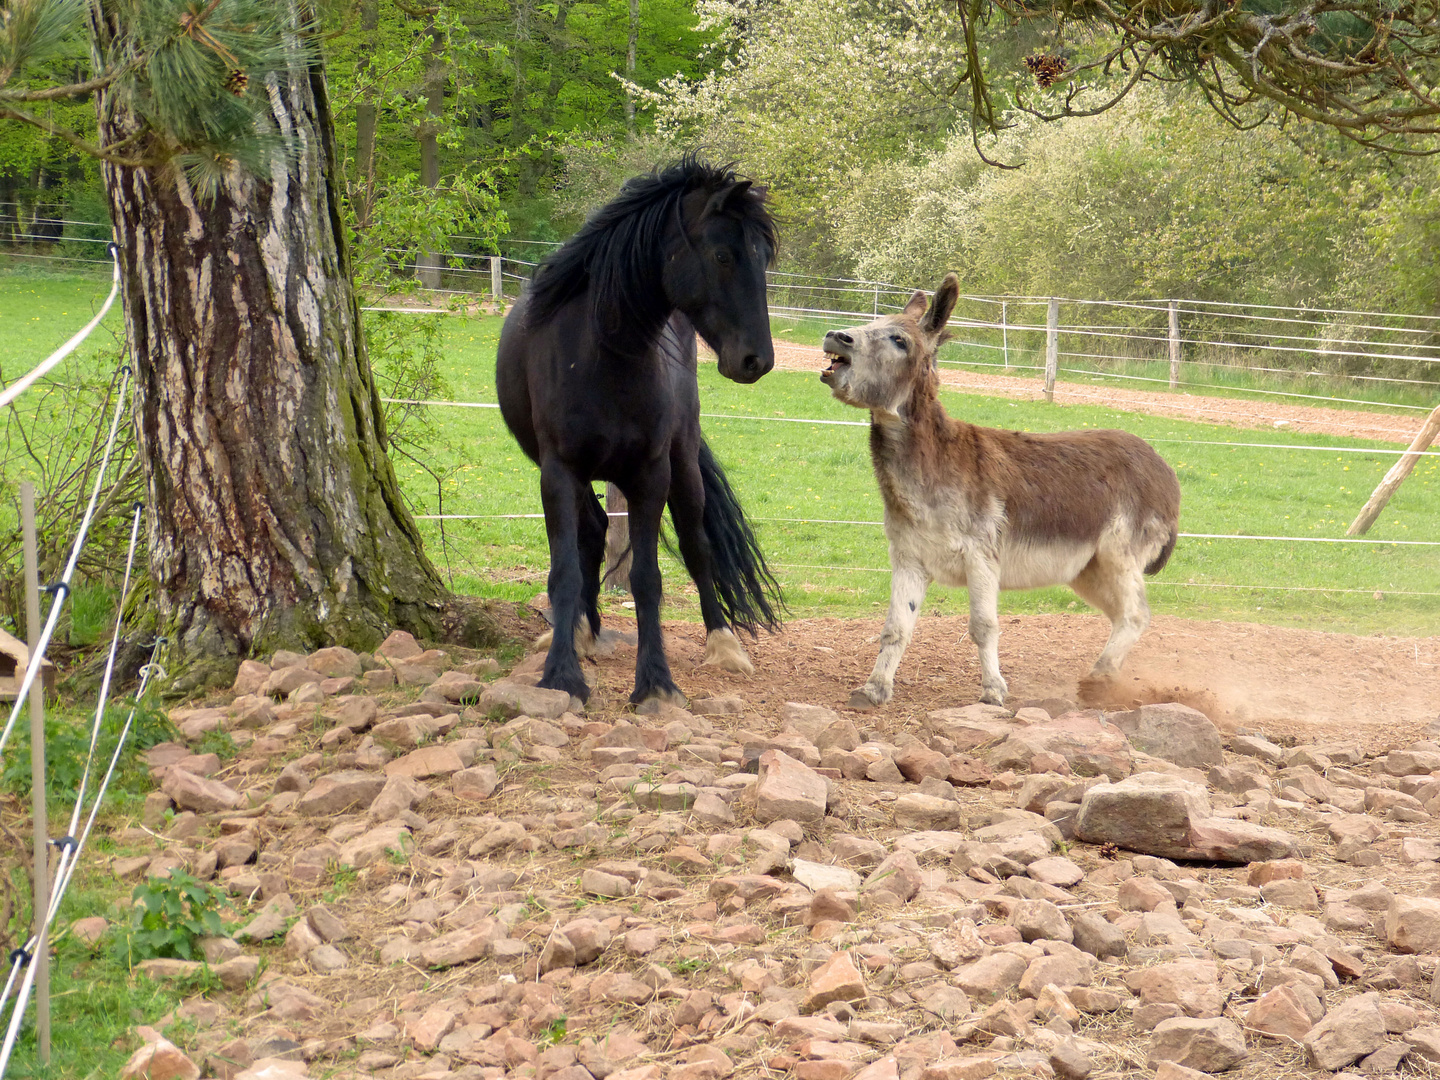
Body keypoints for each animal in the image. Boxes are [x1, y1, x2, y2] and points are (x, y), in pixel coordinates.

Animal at [495, 154, 789, 711]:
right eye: (723, 254)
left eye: (764, 257)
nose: (757, 360)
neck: (602, 353)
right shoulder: (558, 472)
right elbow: (564, 570)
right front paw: (562, 673)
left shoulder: (650, 475)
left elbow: (648, 579)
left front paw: (655, 682)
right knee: (591, 535)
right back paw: (582, 630)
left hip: (683, 464)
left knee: (697, 544)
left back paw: (723, 643)